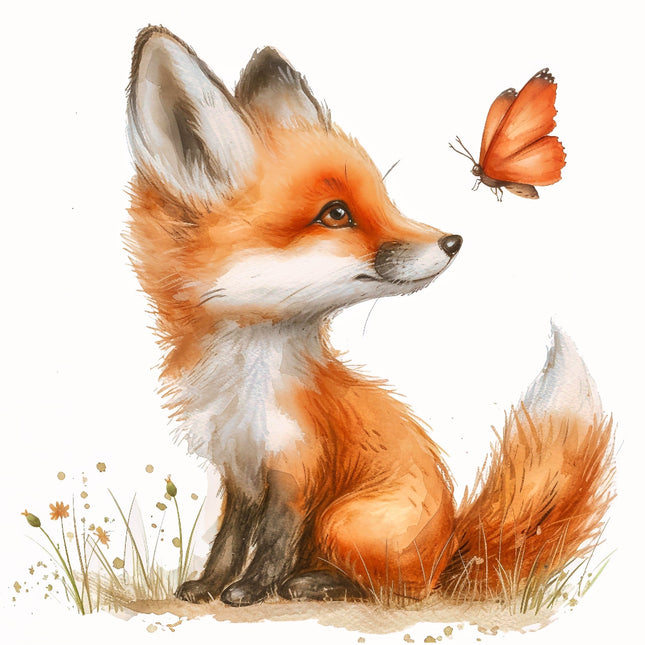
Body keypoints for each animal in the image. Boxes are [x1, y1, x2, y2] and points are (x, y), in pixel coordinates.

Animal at [125, 26, 614, 607]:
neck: (248, 387)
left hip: (344, 520)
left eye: (384, 201)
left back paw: (313, 583)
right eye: (336, 213)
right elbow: (229, 539)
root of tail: (451, 549)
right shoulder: (240, 470)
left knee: (399, 589)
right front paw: (208, 585)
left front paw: (251, 589)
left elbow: (275, 541)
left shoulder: (299, 469)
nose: (453, 241)